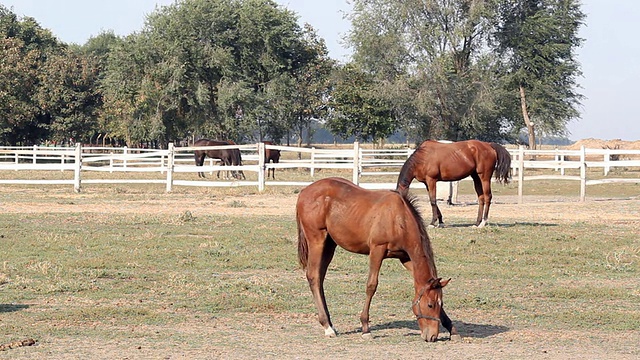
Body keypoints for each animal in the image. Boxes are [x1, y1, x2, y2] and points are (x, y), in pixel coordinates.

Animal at [298, 179, 458, 342]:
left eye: (441, 304)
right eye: (430, 305)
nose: (432, 336)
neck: (399, 218)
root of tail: (304, 191)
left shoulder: (406, 258)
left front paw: (452, 328)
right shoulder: (377, 250)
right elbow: (371, 285)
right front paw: (365, 327)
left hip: (330, 245)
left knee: (320, 278)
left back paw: (330, 324)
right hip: (317, 241)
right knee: (313, 276)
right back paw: (327, 326)